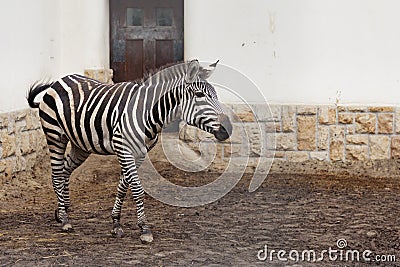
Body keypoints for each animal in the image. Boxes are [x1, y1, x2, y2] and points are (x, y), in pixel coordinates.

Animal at [27, 59, 231, 244]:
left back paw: (63, 210)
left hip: (81, 144)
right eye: (199, 94)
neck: (148, 113)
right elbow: (137, 189)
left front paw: (116, 222)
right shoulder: (123, 148)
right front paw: (145, 229)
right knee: (56, 173)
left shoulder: (140, 153)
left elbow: (123, 187)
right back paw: (64, 219)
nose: (228, 129)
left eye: (216, 95)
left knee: (65, 170)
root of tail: (59, 81)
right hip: (55, 135)